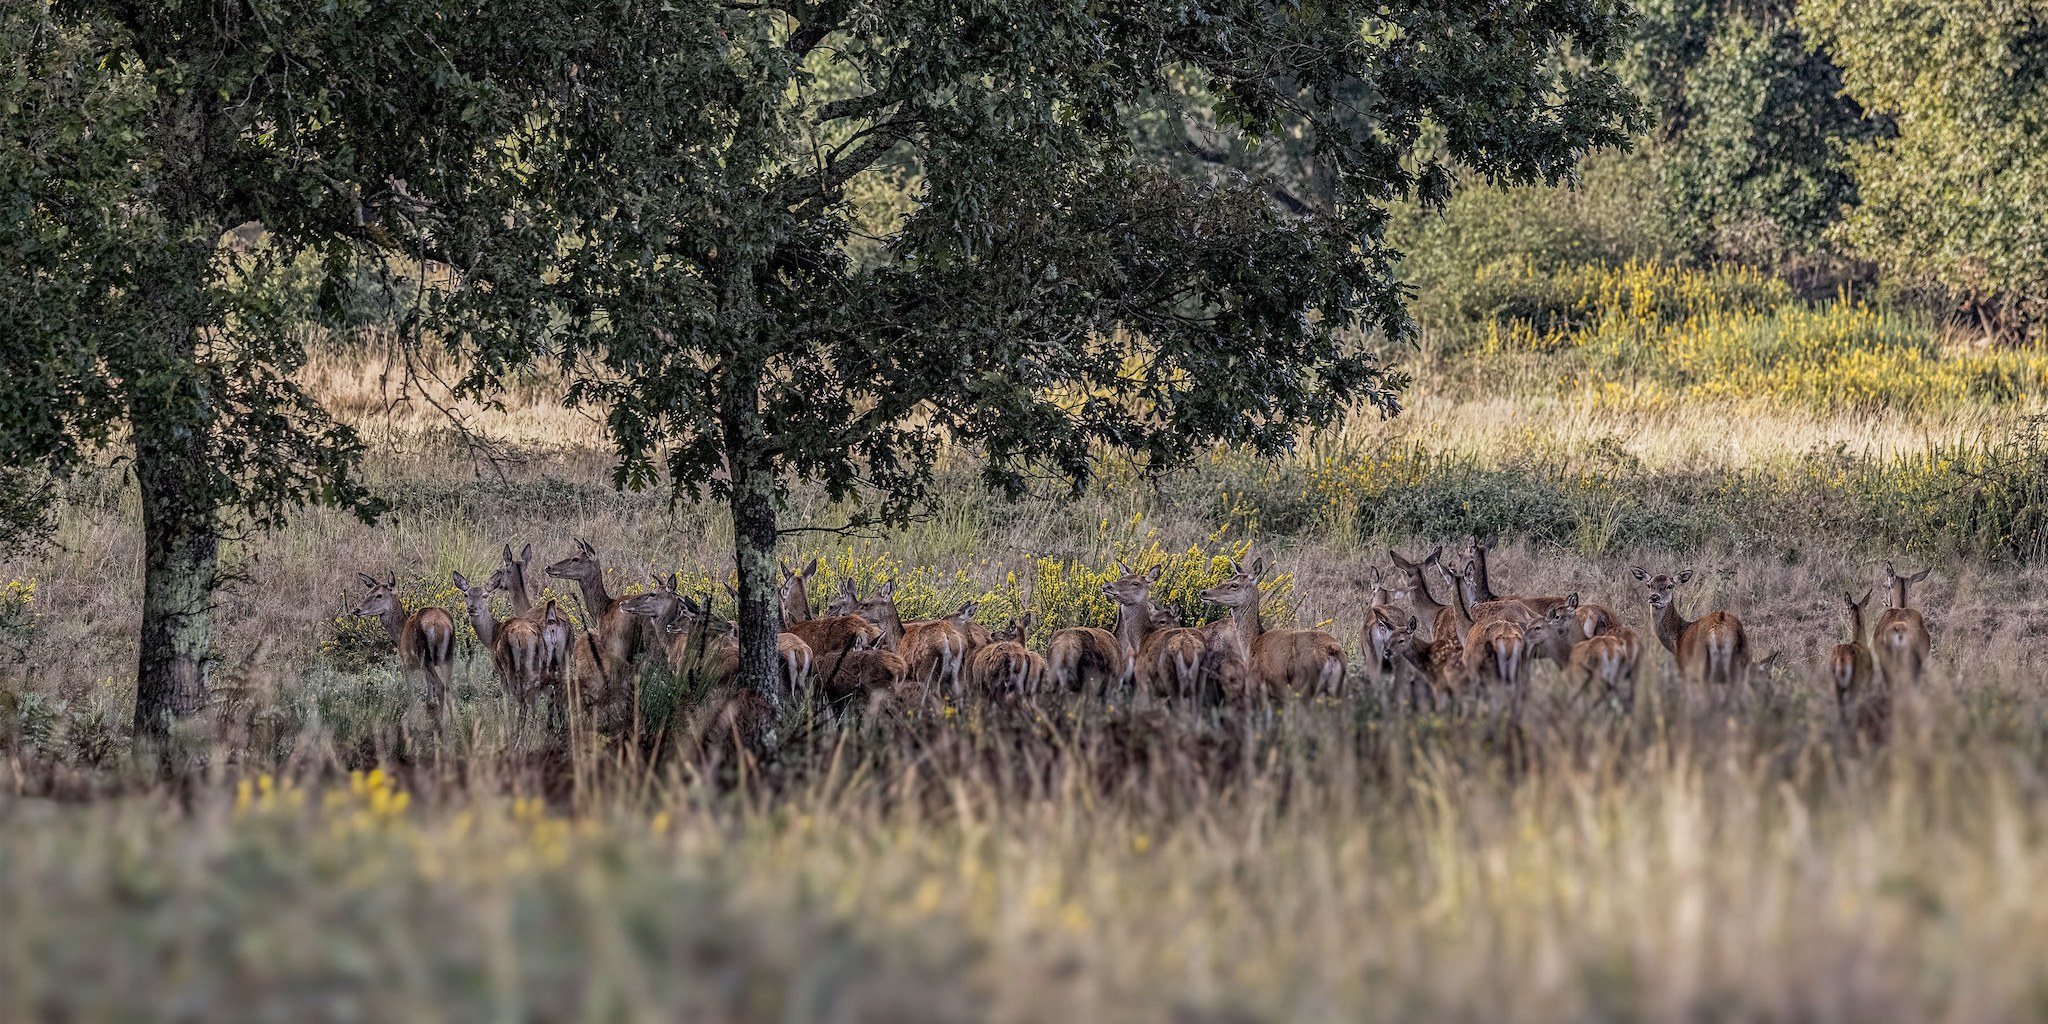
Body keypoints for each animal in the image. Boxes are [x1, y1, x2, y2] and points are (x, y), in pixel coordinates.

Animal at [354, 572, 457, 715]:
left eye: (379, 595)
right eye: (368, 592)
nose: (356, 609)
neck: (399, 633)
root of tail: (441, 626)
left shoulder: (406, 663)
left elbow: (412, 693)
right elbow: (429, 695)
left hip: (425, 658)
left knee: (440, 686)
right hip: (448, 657)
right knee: (447, 687)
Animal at [1199, 558, 1346, 699]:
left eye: (1234, 585)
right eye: (1226, 579)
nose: (1203, 592)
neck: (1252, 643)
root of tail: (1331, 652)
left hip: (1303, 683)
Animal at [1629, 567, 1749, 698]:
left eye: (1670, 585)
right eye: (1649, 585)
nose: (1654, 597)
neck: (1678, 637)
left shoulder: (1685, 668)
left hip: (1700, 668)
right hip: (1741, 665)